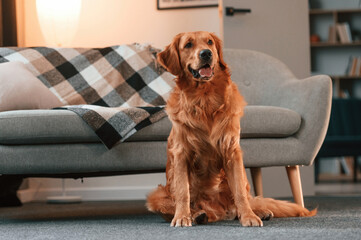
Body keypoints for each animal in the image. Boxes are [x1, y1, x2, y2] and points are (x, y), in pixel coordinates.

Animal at [146, 30, 316, 227]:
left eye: (209, 42)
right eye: (188, 44)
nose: (206, 54)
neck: (205, 99)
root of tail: (219, 211)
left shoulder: (231, 150)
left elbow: (240, 193)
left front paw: (249, 217)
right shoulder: (181, 153)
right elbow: (182, 192)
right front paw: (182, 217)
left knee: (244, 201)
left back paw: (258, 211)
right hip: (156, 195)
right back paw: (197, 214)